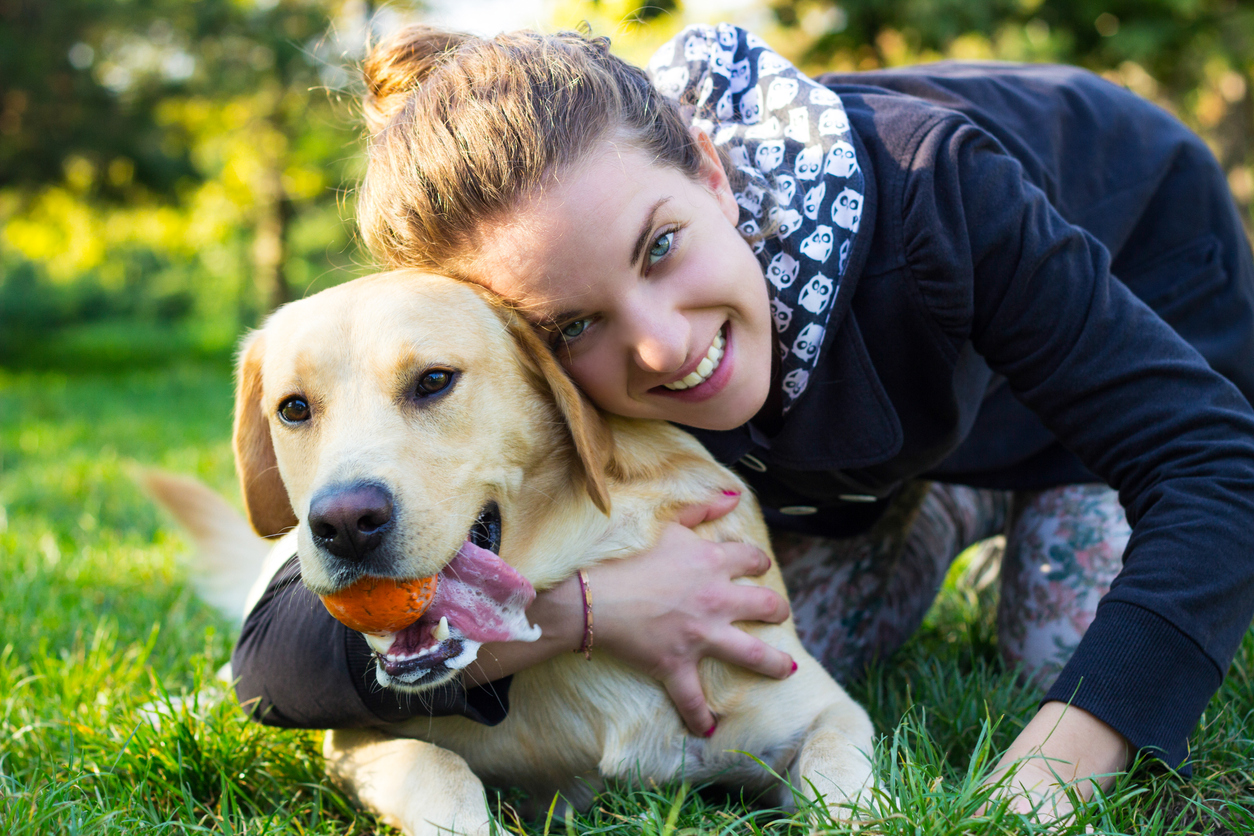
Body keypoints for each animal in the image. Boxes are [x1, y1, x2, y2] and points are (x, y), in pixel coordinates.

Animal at [149, 269, 872, 836]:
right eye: (294, 408)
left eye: (434, 381)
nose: (344, 523)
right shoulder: (357, 739)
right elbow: (441, 769)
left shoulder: (827, 712)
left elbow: (845, 787)